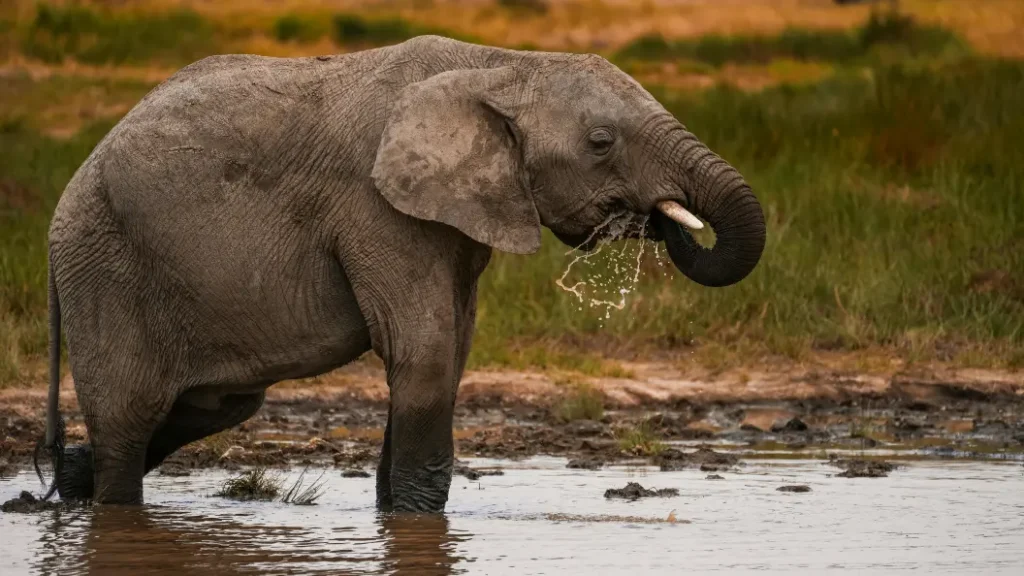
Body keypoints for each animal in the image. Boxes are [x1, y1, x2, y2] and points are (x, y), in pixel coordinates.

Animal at [37, 35, 765, 512]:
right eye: (601, 143)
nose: (658, 216)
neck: (502, 65)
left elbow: (452, 350)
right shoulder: (376, 207)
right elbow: (426, 352)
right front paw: (415, 520)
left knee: (211, 406)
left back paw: (71, 484)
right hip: (104, 271)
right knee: (130, 424)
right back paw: (107, 505)